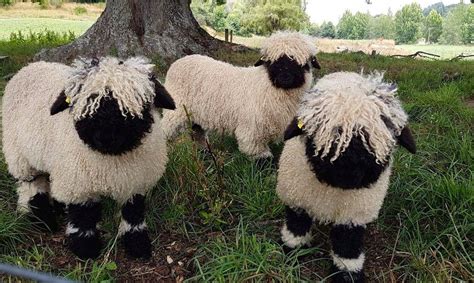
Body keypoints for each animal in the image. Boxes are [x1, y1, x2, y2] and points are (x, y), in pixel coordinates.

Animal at [1, 56, 176, 260]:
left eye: (136, 104)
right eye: (87, 103)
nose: (106, 137)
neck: (113, 159)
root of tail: (32, 65)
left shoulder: (136, 181)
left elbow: (134, 214)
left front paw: (138, 245)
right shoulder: (79, 184)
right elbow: (83, 217)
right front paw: (86, 250)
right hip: (20, 156)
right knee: (33, 188)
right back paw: (44, 222)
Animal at [161, 31, 320, 165]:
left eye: (303, 64)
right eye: (272, 62)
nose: (285, 77)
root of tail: (180, 61)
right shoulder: (252, 130)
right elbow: (260, 157)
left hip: (196, 114)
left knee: (197, 132)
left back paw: (205, 154)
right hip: (177, 110)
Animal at [276, 72, 416, 282]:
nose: (350, 171)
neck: (333, 189)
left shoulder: (353, 214)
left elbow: (347, 243)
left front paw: (347, 273)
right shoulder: (296, 198)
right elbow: (296, 224)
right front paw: (293, 250)